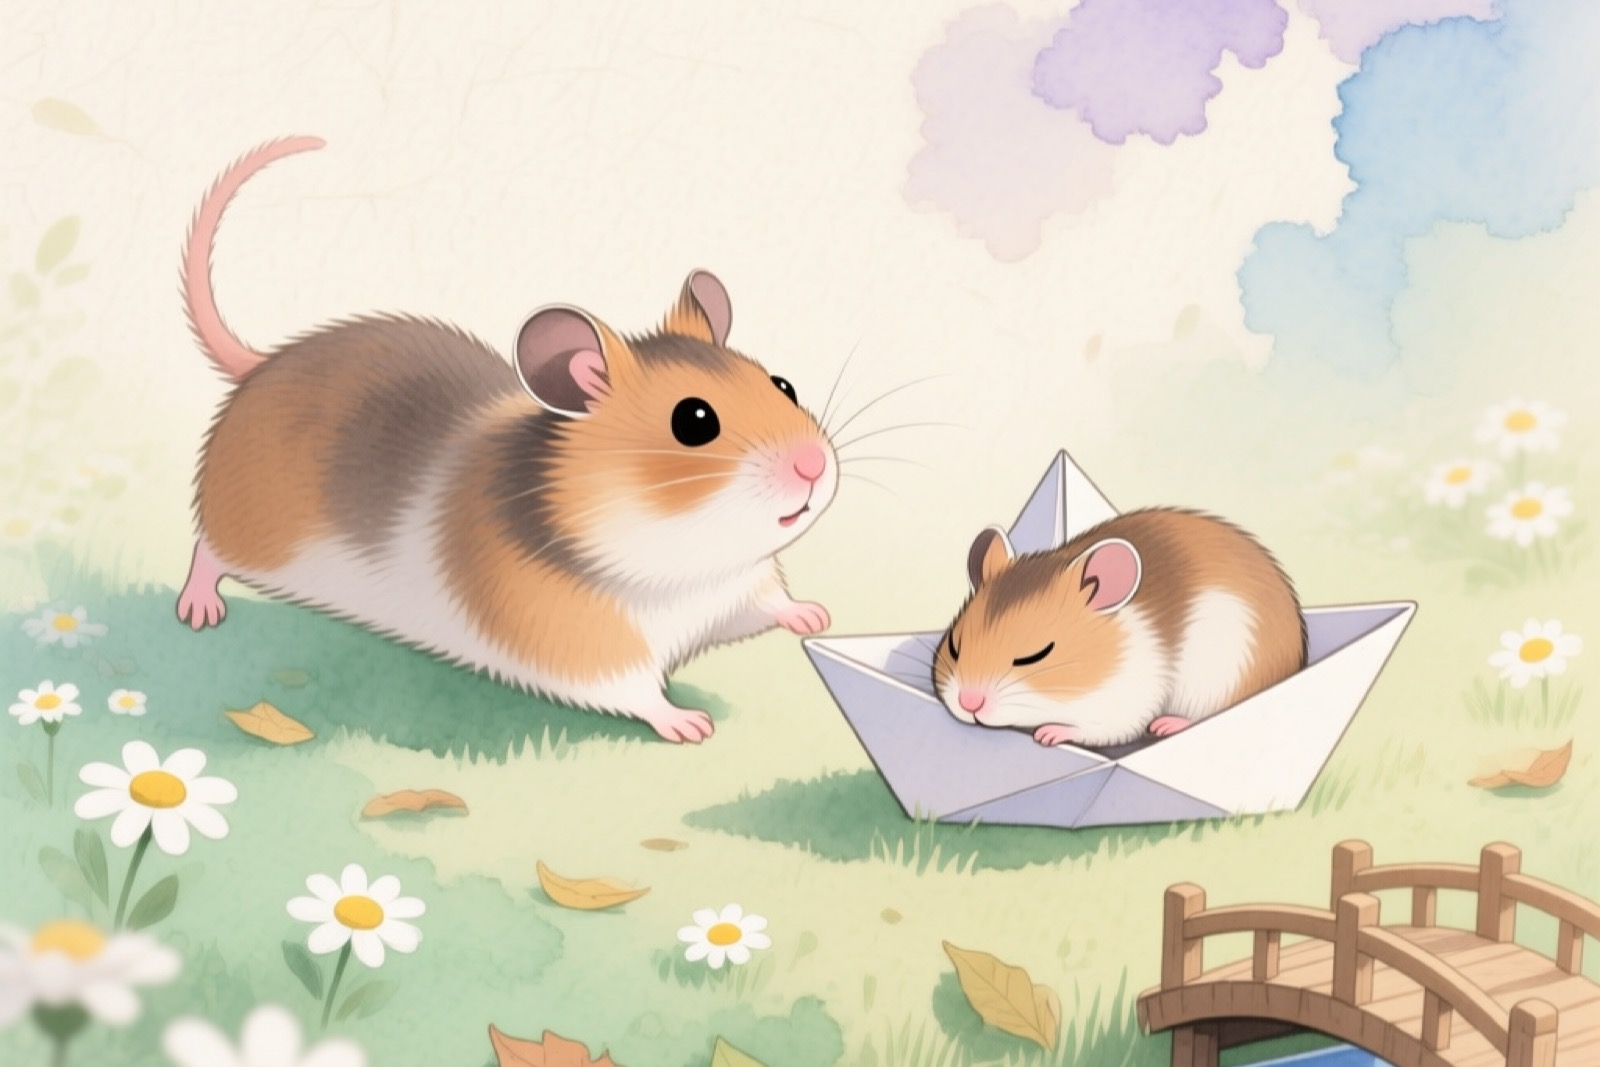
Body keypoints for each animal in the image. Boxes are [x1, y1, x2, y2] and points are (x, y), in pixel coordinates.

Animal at [174, 136, 838, 744]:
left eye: (783, 385)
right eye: (693, 421)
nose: (814, 467)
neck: (681, 567)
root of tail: (260, 365)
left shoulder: (739, 591)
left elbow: (771, 604)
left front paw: (815, 614)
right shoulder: (580, 643)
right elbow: (636, 690)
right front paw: (691, 724)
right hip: (255, 538)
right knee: (206, 547)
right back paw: (199, 611)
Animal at [931, 508, 1306, 748]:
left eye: (1036, 655)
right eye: (954, 647)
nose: (969, 703)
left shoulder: (1125, 700)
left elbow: (1099, 728)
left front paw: (1047, 734)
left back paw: (1166, 725)